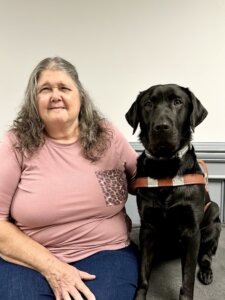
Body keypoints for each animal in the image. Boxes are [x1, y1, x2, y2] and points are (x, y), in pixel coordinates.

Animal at [125, 84, 221, 300]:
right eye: (148, 104)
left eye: (178, 101)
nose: (162, 127)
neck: (165, 167)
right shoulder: (148, 228)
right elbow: (143, 273)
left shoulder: (191, 231)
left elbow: (187, 278)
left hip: (213, 218)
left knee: (206, 255)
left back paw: (206, 272)